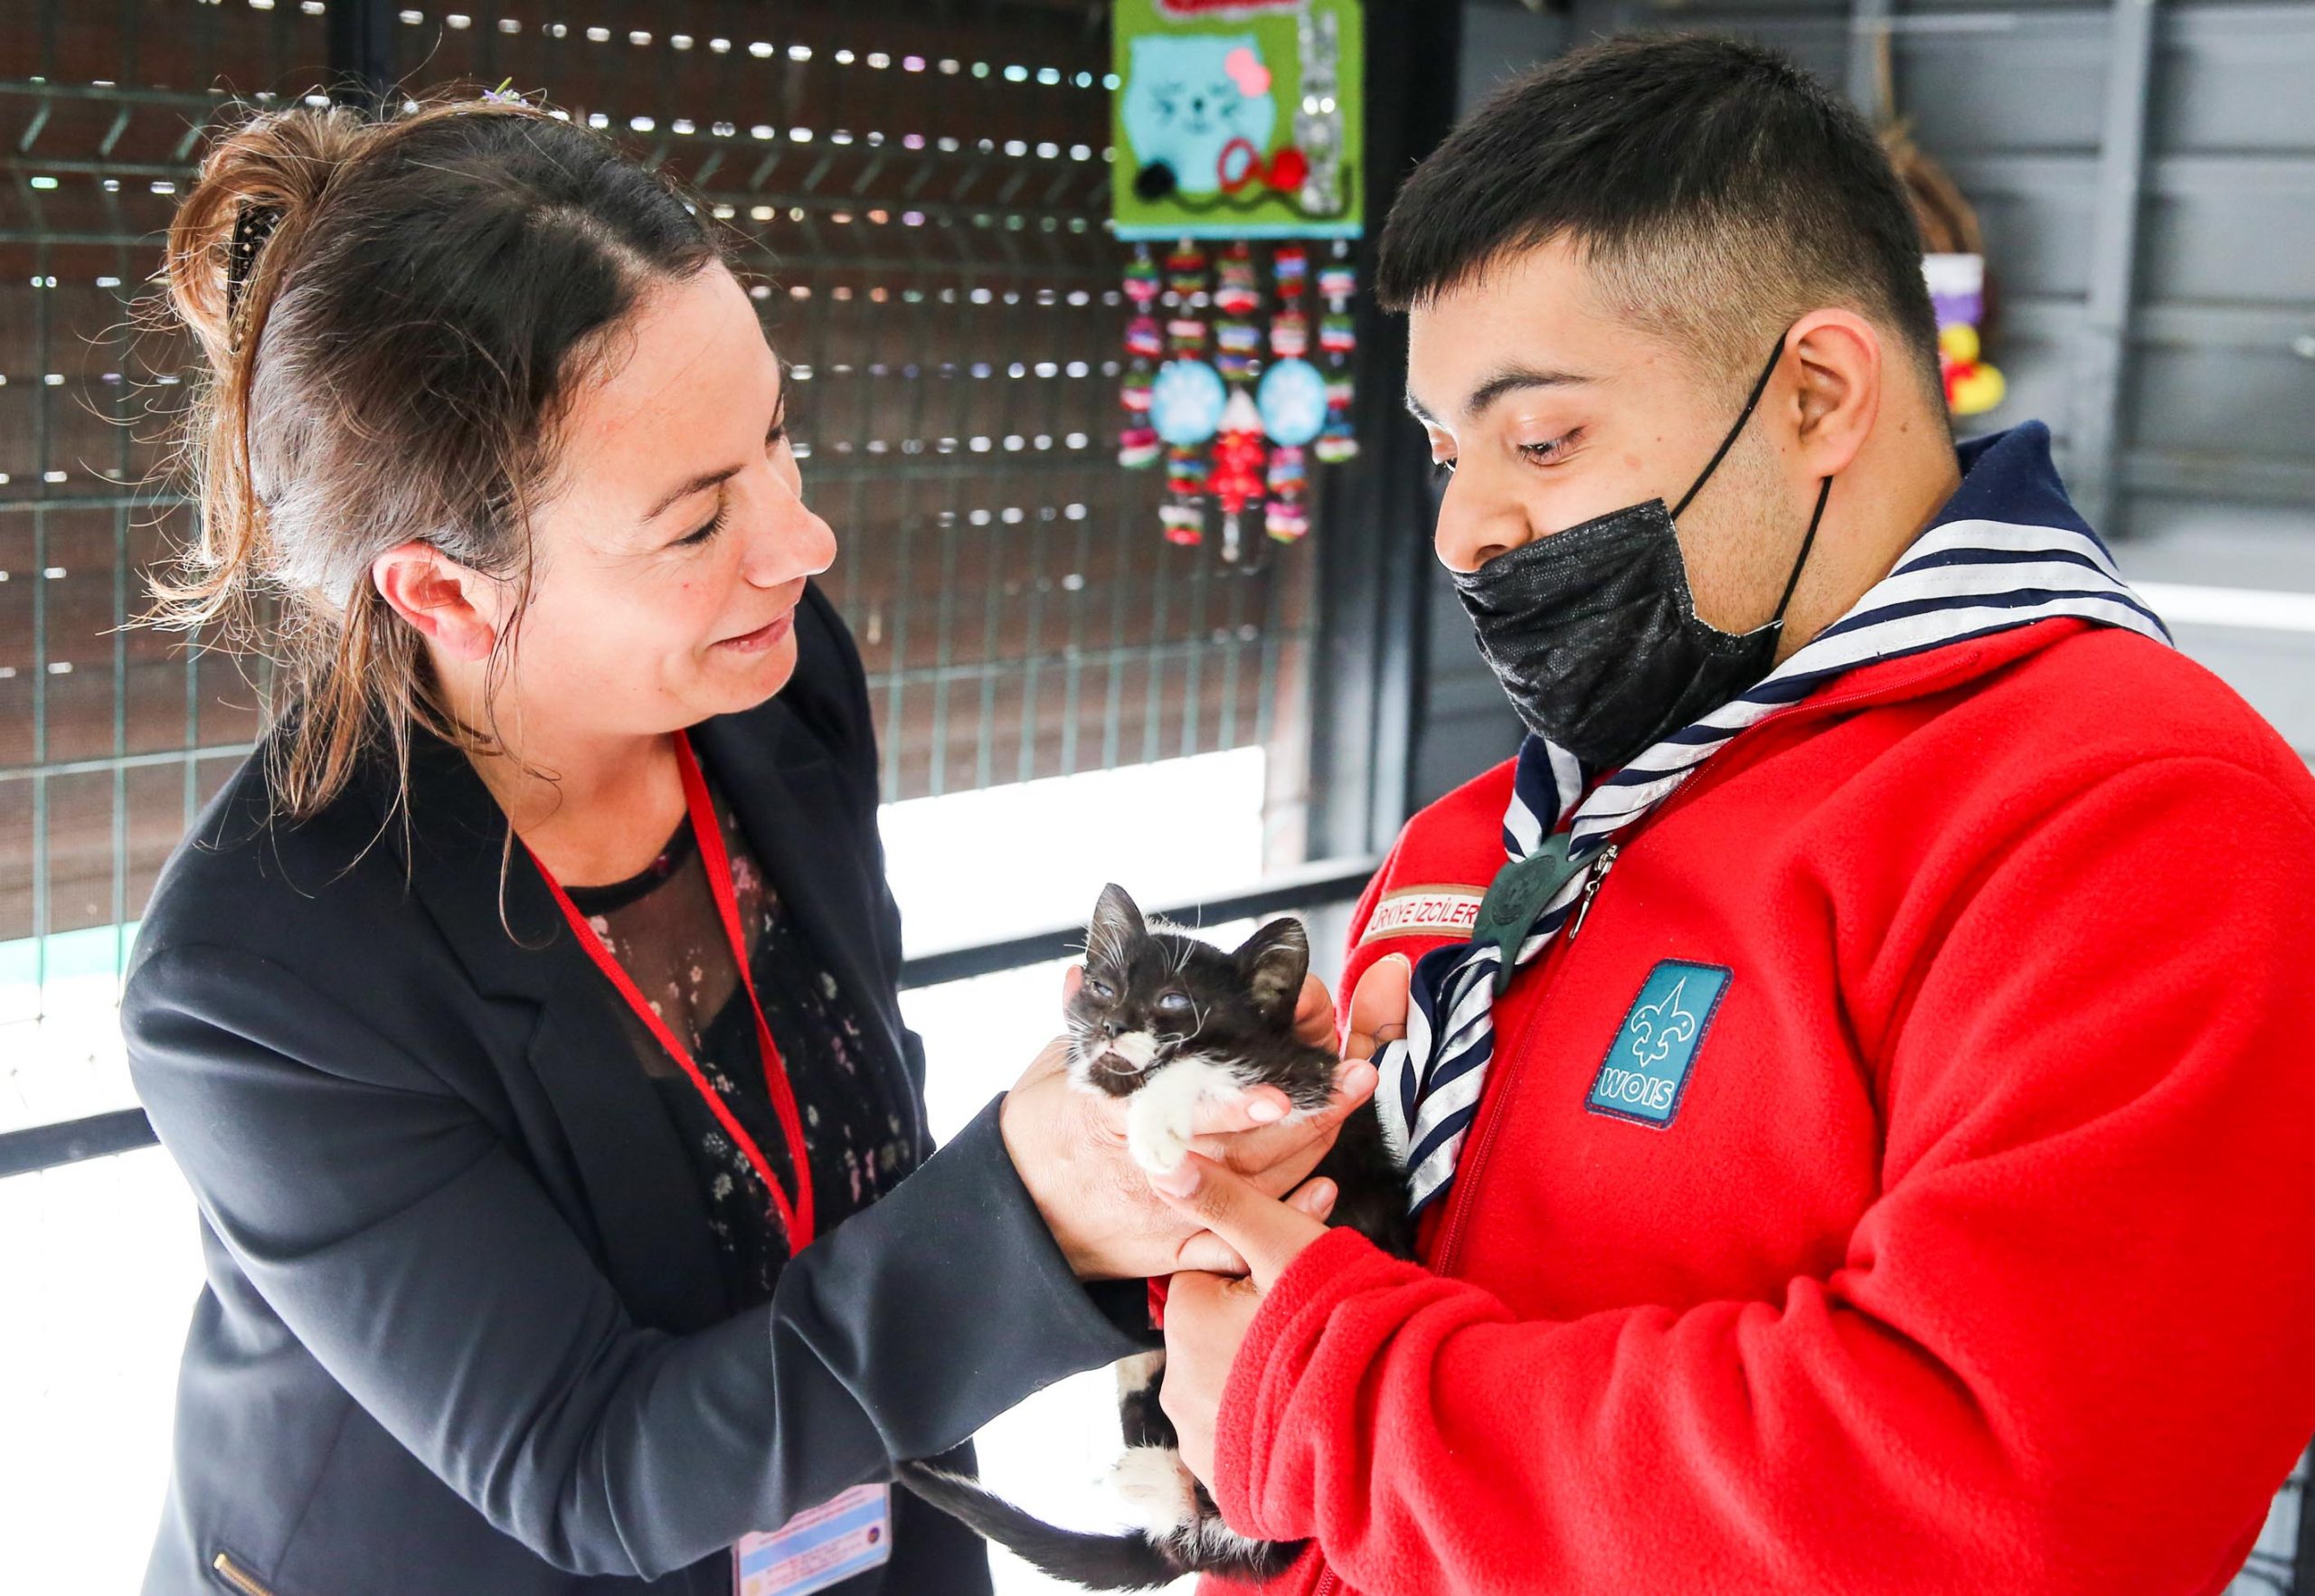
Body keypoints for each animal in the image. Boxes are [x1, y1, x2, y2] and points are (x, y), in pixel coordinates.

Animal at [898, 875, 1407, 1584]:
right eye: (1101, 987)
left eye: (1172, 1000)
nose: (1110, 1025)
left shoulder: (1311, 1082)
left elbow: (1203, 1065)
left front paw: (1156, 1128)